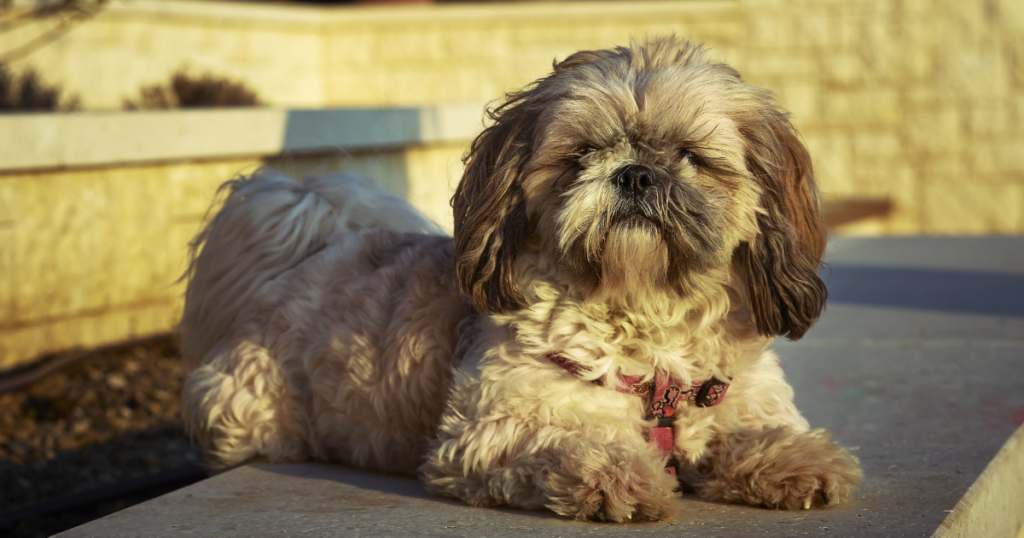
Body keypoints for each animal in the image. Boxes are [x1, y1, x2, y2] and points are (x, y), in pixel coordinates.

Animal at [180, 36, 860, 520]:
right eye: (581, 154)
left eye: (691, 156)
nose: (635, 173)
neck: (647, 317)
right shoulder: (491, 430)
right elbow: (567, 443)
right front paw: (616, 473)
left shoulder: (733, 395)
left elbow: (752, 431)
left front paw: (795, 460)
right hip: (250, 408)